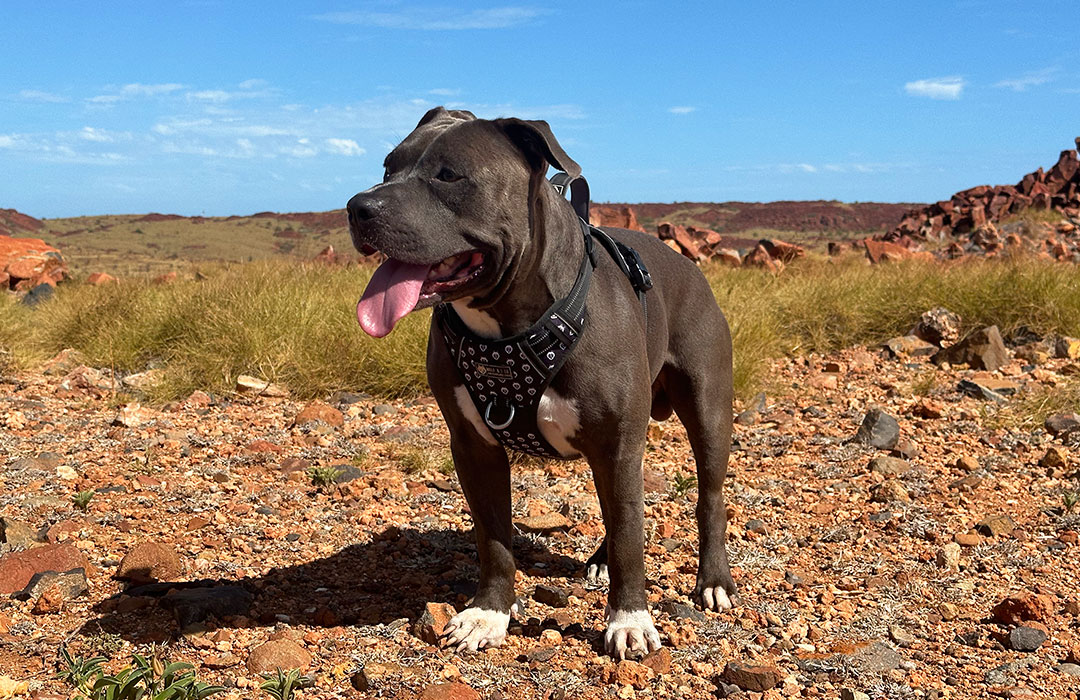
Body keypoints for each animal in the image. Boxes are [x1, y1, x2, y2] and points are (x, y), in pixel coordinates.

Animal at [349, 106, 738, 661]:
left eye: (449, 175)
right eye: (387, 167)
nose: (357, 207)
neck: (510, 331)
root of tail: (687, 262)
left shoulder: (619, 443)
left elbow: (630, 535)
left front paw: (630, 621)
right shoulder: (475, 448)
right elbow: (494, 539)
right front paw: (488, 614)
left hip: (708, 409)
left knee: (708, 496)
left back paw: (714, 580)